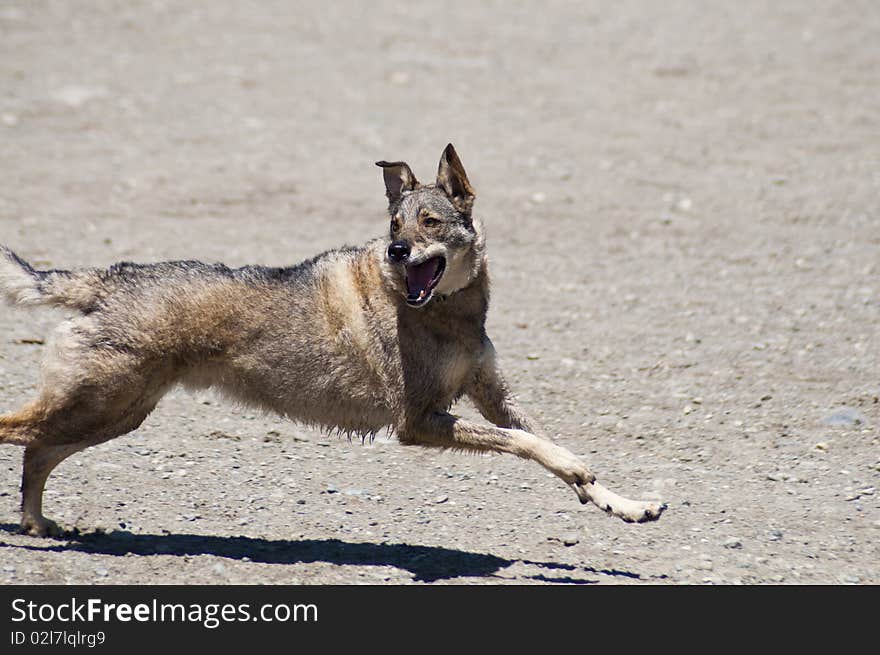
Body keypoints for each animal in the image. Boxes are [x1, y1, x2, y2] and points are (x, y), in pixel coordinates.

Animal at [0, 145, 660, 540]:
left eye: (431, 222)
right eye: (394, 225)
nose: (397, 251)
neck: (448, 313)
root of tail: (105, 277)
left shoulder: (490, 396)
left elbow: (545, 440)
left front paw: (620, 502)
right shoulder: (419, 421)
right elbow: (531, 444)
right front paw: (576, 471)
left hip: (113, 414)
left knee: (36, 453)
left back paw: (37, 524)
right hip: (99, 405)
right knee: (20, 433)